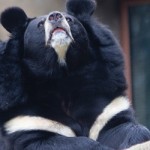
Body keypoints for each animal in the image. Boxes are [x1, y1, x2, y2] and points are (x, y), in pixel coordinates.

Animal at [0, 0, 150, 149]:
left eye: (69, 19)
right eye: (40, 24)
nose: (55, 16)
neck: (63, 74)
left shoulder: (107, 103)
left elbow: (122, 128)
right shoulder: (27, 118)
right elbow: (49, 142)